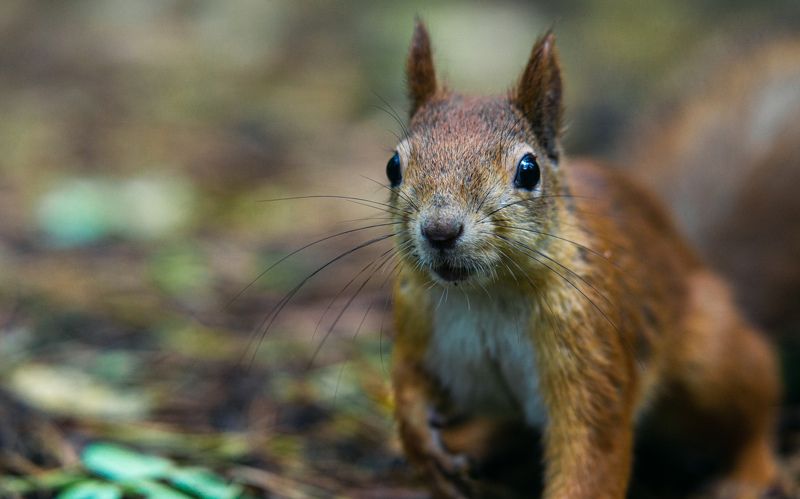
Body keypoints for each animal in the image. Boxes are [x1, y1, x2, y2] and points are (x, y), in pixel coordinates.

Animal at [387, 21, 782, 498]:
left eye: (528, 171)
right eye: (393, 166)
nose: (440, 230)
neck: (487, 294)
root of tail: (689, 252)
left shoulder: (591, 347)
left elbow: (591, 450)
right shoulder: (417, 322)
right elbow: (406, 382)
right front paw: (421, 445)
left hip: (709, 359)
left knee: (758, 390)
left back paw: (749, 472)